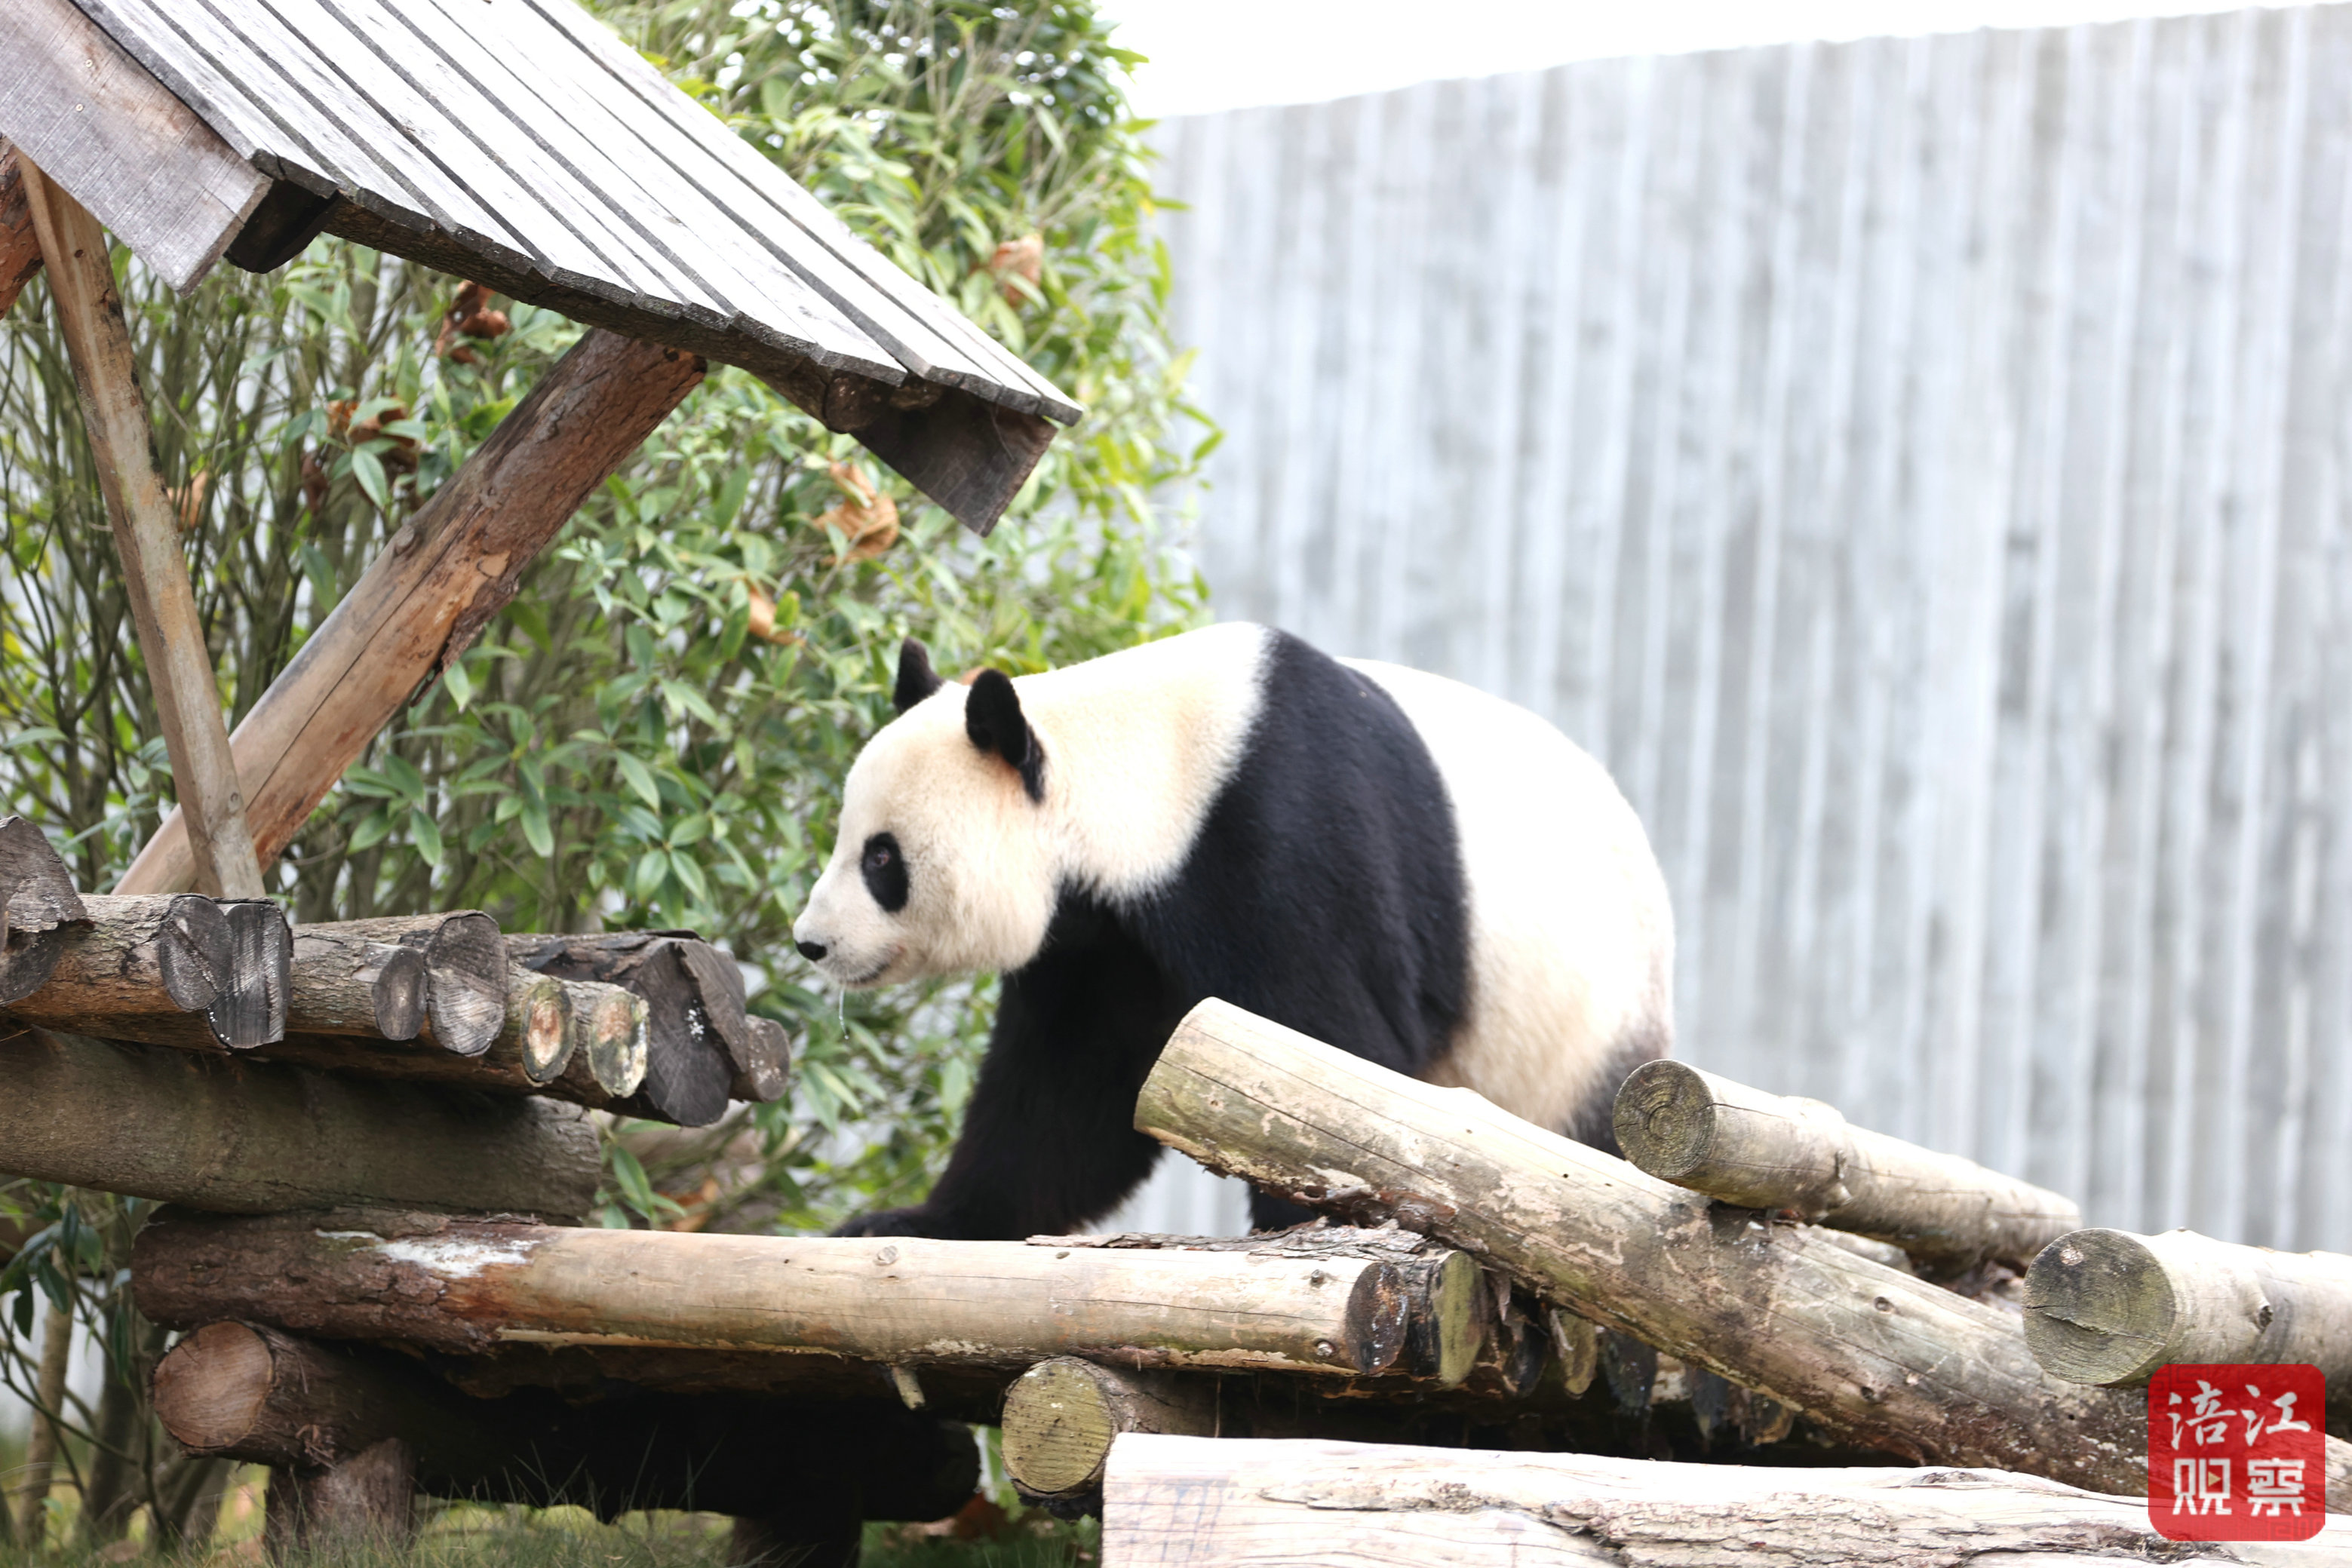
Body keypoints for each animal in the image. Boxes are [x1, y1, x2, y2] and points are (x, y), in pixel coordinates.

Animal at [792, 622, 1674, 1239]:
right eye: (847, 838)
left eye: (881, 859)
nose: (811, 941)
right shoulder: (1108, 945)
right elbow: (1064, 1092)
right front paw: (918, 1221)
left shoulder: (1280, 849)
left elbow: (1331, 1055)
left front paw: (1304, 1220)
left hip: (1585, 1029)